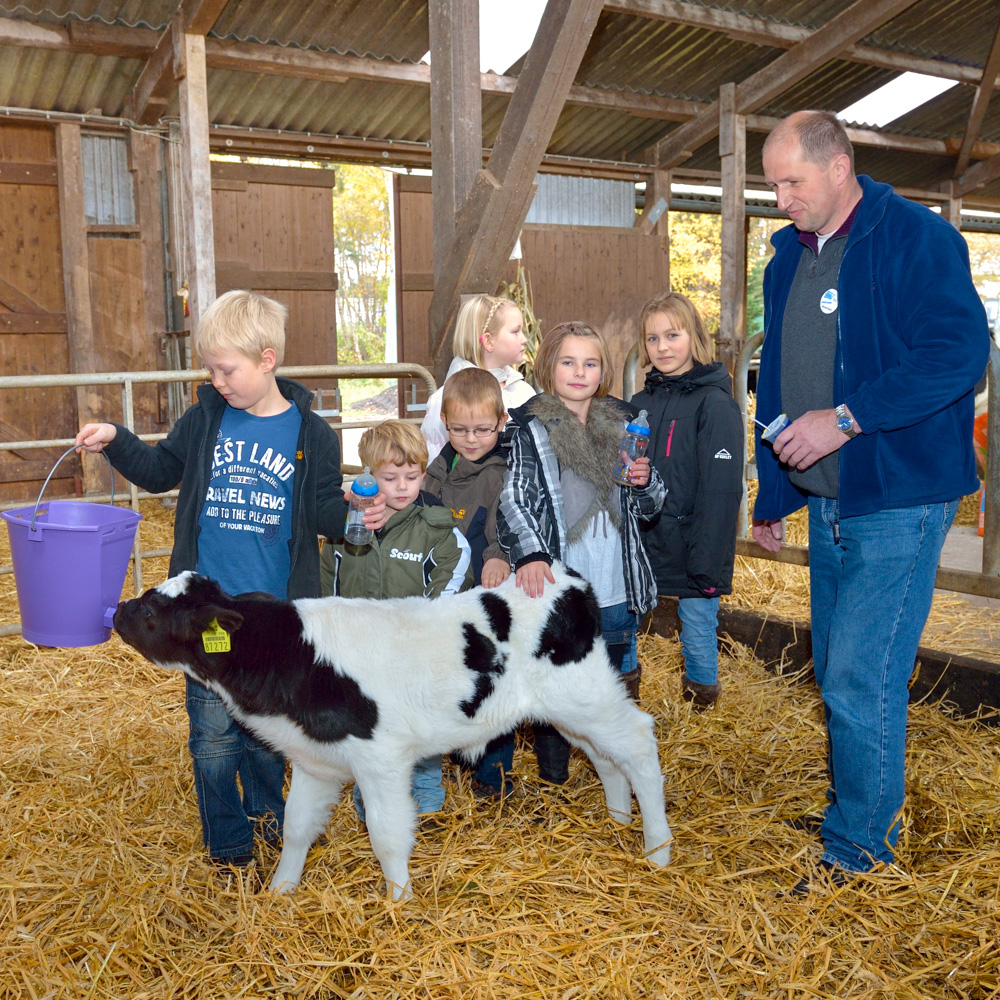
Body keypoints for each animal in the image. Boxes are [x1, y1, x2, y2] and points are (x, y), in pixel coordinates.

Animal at [113, 564, 672, 900]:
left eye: (150, 611)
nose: (116, 611)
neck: (294, 654)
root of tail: (567, 577)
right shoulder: (316, 761)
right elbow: (296, 827)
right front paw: (281, 891)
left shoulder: (381, 760)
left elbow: (386, 836)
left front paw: (399, 901)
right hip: (570, 708)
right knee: (606, 758)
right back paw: (619, 819)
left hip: (586, 696)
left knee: (639, 743)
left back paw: (658, 848)